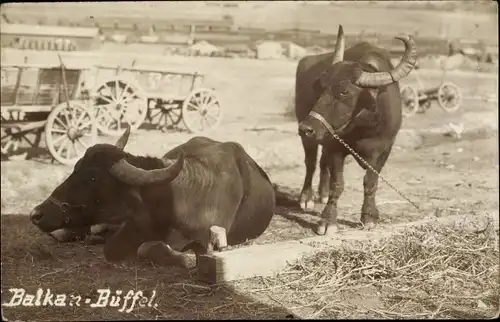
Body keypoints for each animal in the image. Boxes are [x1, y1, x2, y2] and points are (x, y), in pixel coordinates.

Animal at [296, 24, 418, 234]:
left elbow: (371, 182)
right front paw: (327, 221)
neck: (364, 128)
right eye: (320, 86)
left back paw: (322, 194)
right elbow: (338, 184)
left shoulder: (385, 149)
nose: (306, 128)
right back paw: (307, 198)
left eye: (345, 91)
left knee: (322, 162)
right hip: (310, 137)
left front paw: (369, 216)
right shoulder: (335, 147)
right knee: (310, 163)